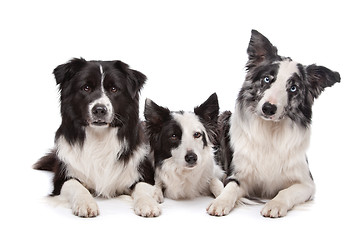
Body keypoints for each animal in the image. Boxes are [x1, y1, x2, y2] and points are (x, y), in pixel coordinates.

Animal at [33, 58, 160, 218]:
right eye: (86, 88)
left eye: (114, 89)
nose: (99, 110)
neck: (99, 137)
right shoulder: (62, 178)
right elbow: (76, 185)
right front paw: (86, 203)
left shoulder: (144, 173)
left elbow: (143, 187)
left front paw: (148, 203)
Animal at [208, 29, 340, 218]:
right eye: (267, 79)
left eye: (293, 88)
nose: (268, 108)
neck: (270, 132)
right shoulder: (238, 175)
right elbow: (230, 188)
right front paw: (220, 201)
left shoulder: (307, 183)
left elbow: (286, 191)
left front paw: (275, 204)